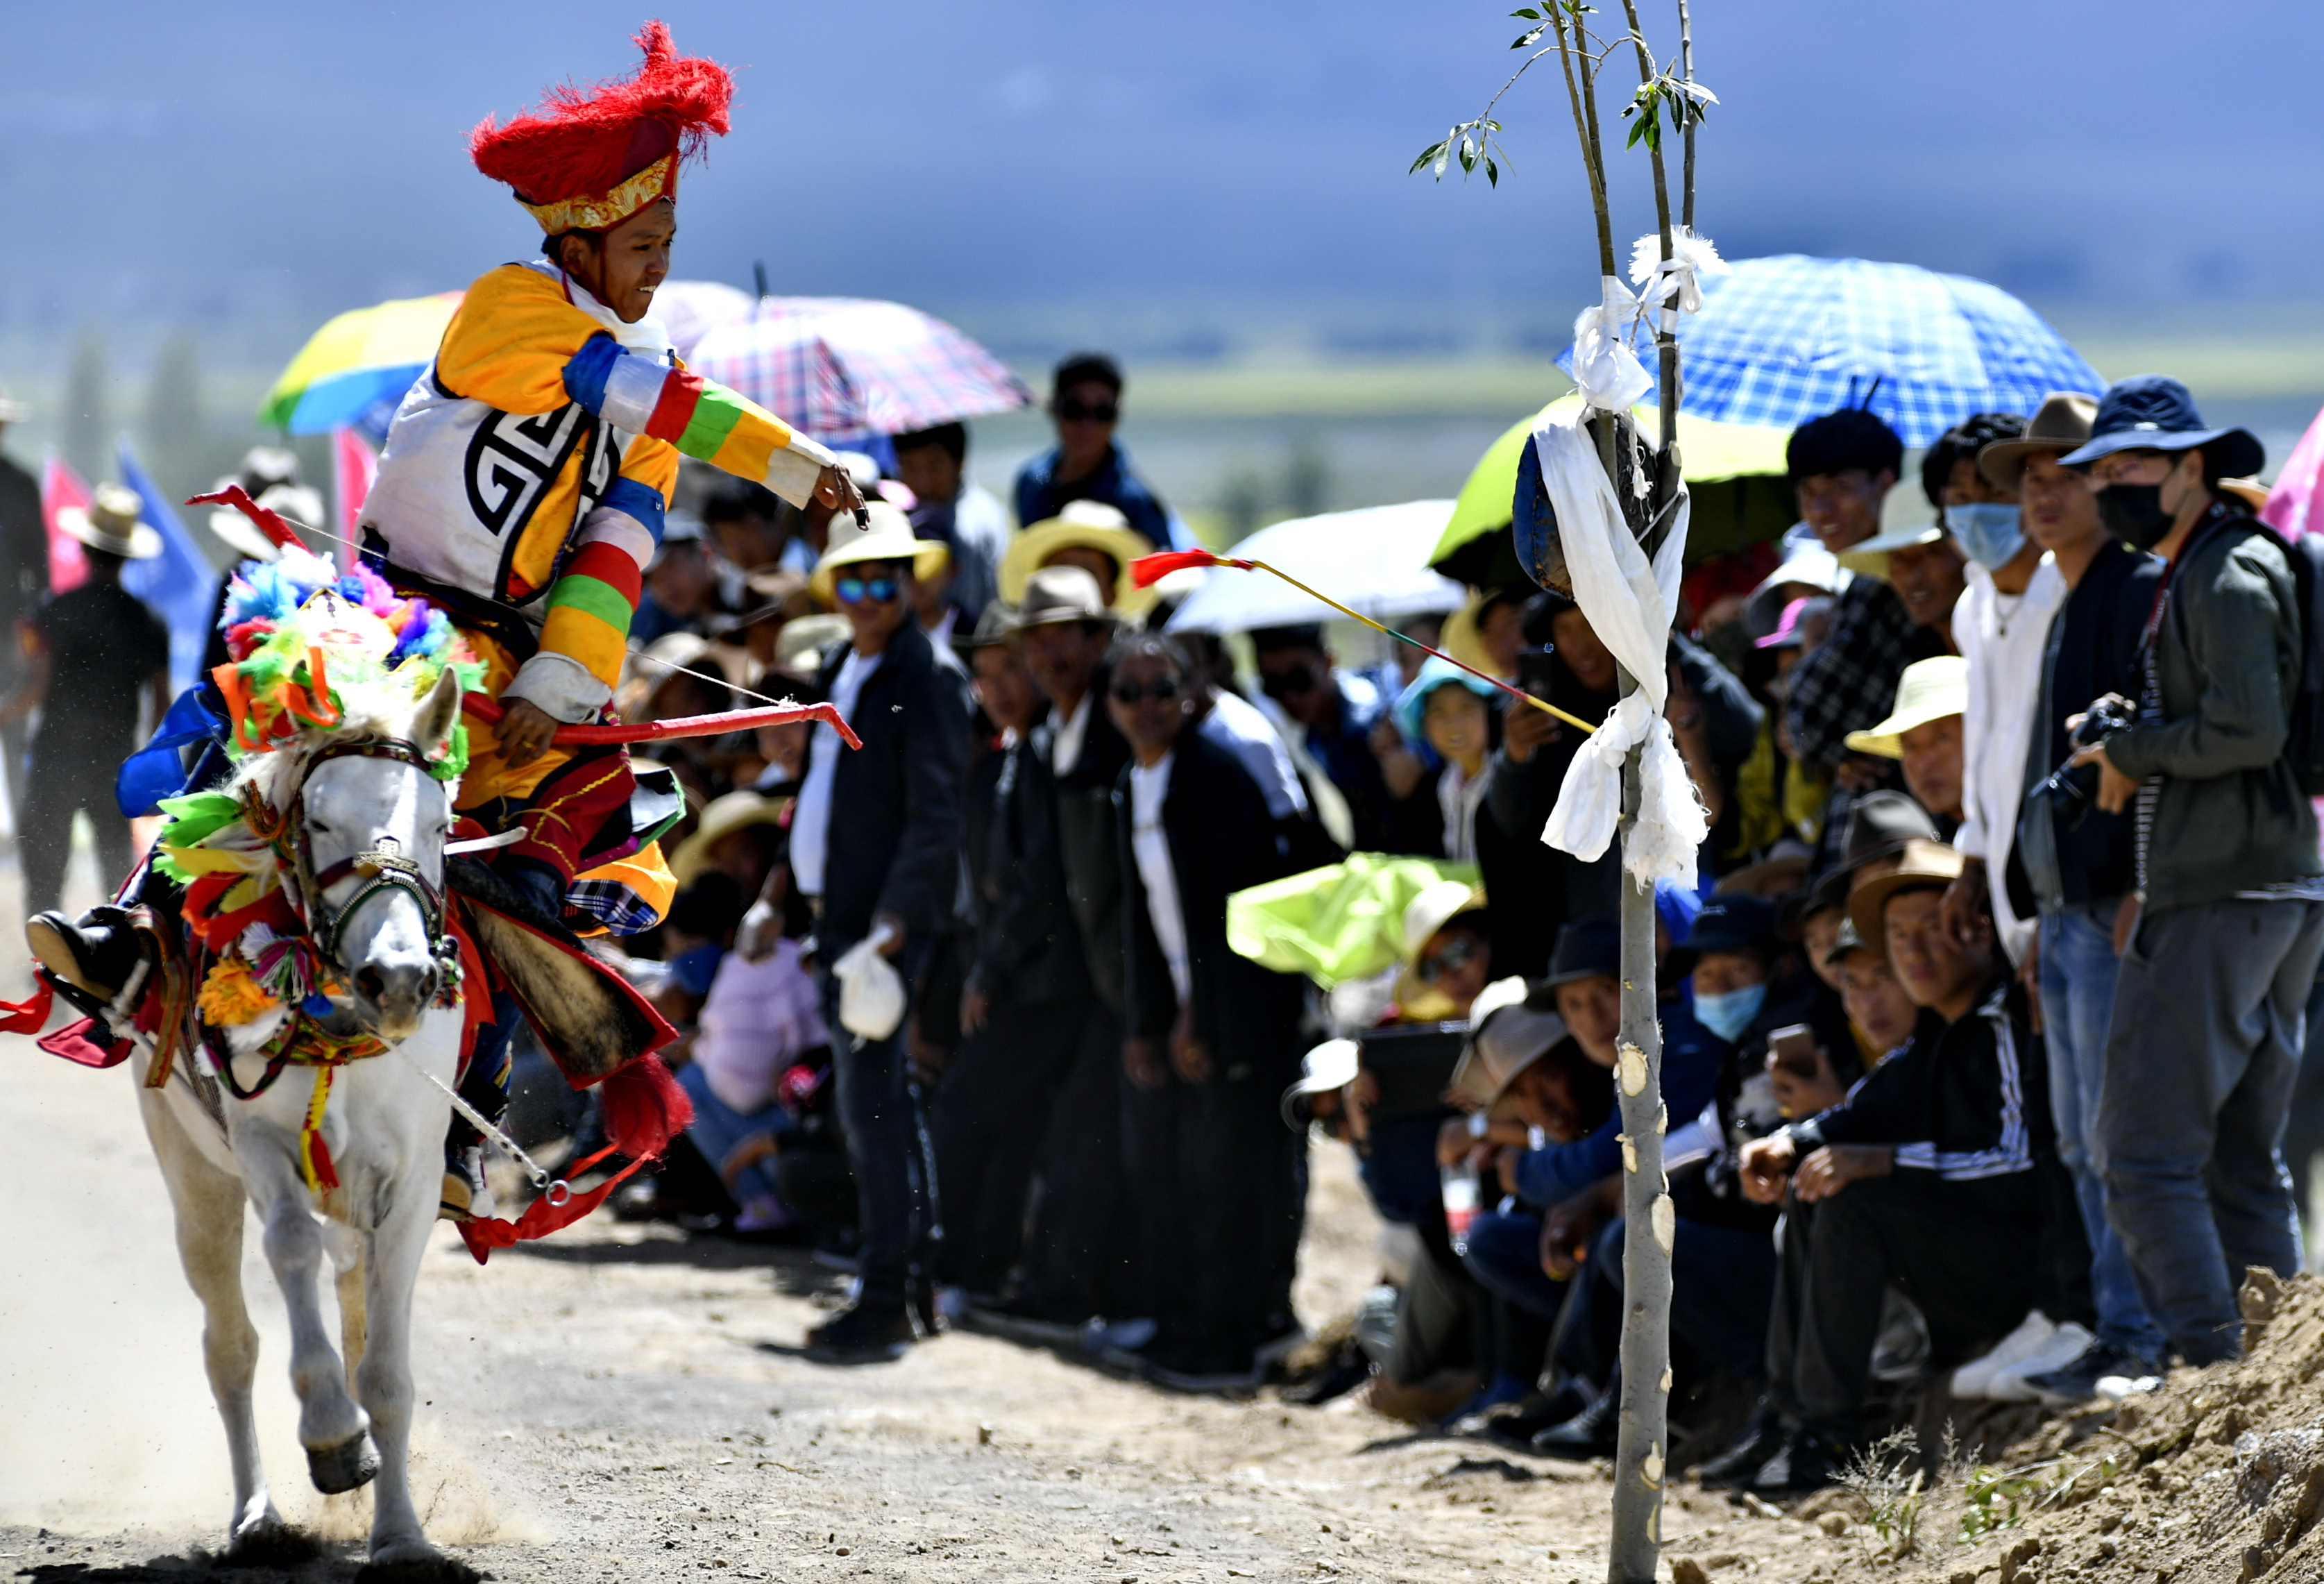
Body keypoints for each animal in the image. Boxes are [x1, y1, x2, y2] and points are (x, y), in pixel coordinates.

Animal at [127, 665, 476, 1572]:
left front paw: (401, 1536)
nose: (400, 977)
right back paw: (258, 1516)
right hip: (192, 1169)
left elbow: (385, 1370)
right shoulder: (258, 1144)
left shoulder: (412, 1181)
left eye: (441, 823)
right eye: (318, 819)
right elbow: (289, 1249)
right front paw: (331, 1437)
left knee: (351, 1318)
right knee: (231, 1344)